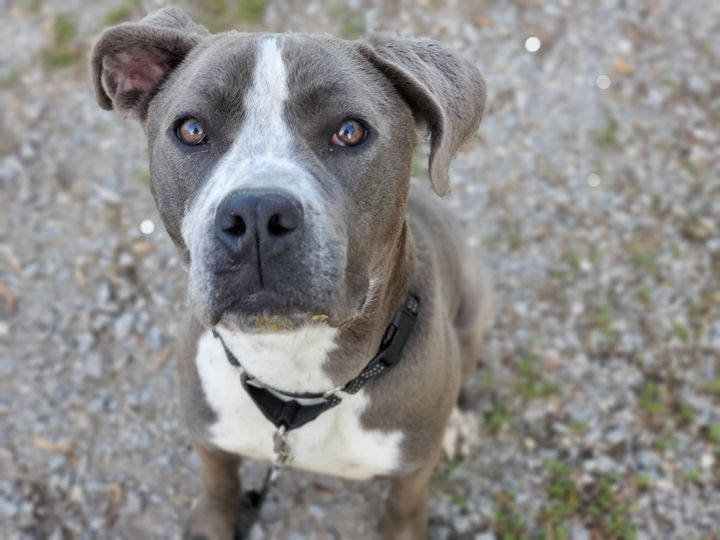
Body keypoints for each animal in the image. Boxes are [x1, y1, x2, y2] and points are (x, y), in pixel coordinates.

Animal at [90, 6, 492, 536]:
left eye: (350, 131)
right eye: (191, 129)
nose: (257, 214)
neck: (293, 366)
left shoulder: (409, 481)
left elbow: (403, 510)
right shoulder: (211, 444)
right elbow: (218, 493)